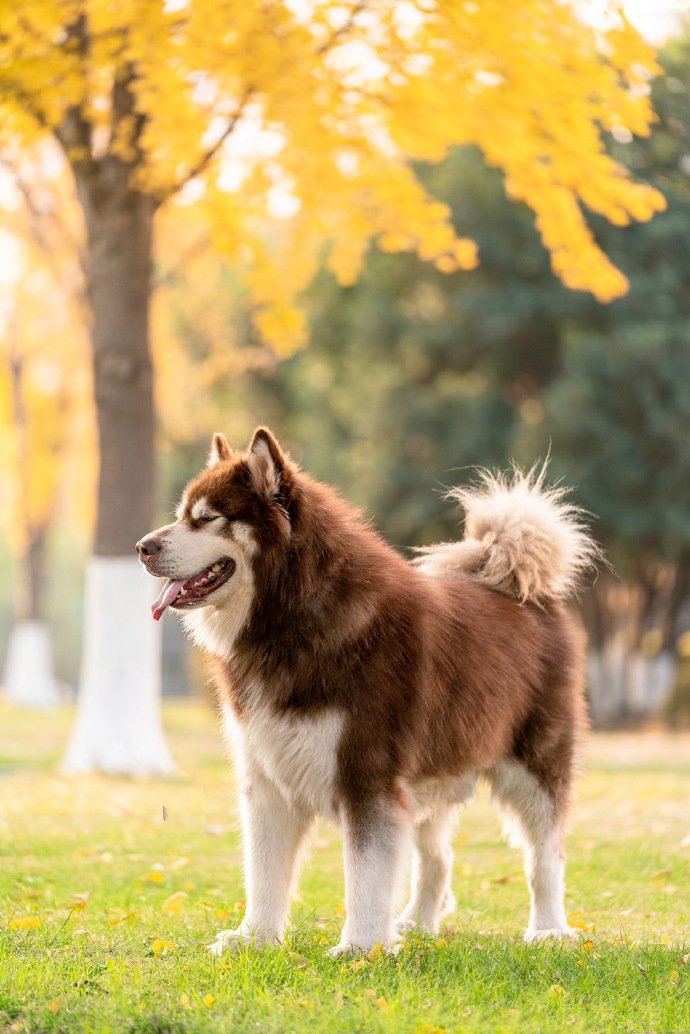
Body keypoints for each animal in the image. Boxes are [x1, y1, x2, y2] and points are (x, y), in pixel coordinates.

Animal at [137, 426, 595, 951]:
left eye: (207, 518)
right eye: (181, 516)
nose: (142, 546)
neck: (291, 616)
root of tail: (526, 592)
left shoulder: (368, 777)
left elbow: (365, 874)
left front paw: (359, 946)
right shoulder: (268, 778)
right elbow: (264, 871)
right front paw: (256, 937)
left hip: (533, 769)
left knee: (545, 858)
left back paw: (550, 929)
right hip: (432, 777)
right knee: (438, 858)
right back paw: (417, 923)